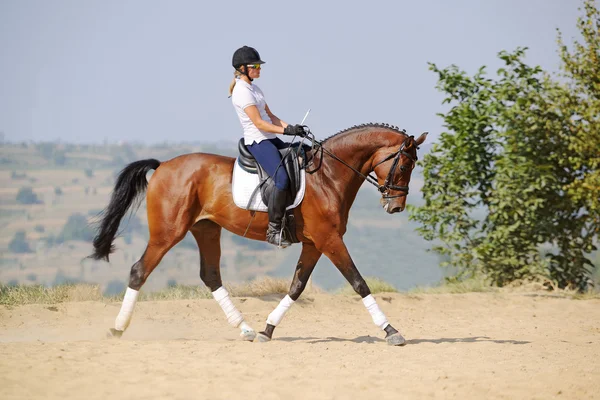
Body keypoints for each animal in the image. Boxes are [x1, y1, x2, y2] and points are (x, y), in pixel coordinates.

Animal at [92, 123, 426, 346]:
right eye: (405, 165)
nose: (396, 206)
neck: (328, 175)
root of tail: (162, 166)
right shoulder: (330, 240)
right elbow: (359, 282)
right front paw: (392, 331)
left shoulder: (314, 243)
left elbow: (296, 287)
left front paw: (267, 329)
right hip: (168, 232)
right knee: (140, 270)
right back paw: (118, 328)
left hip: (206, 229)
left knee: (210, 275)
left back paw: (246, 329)